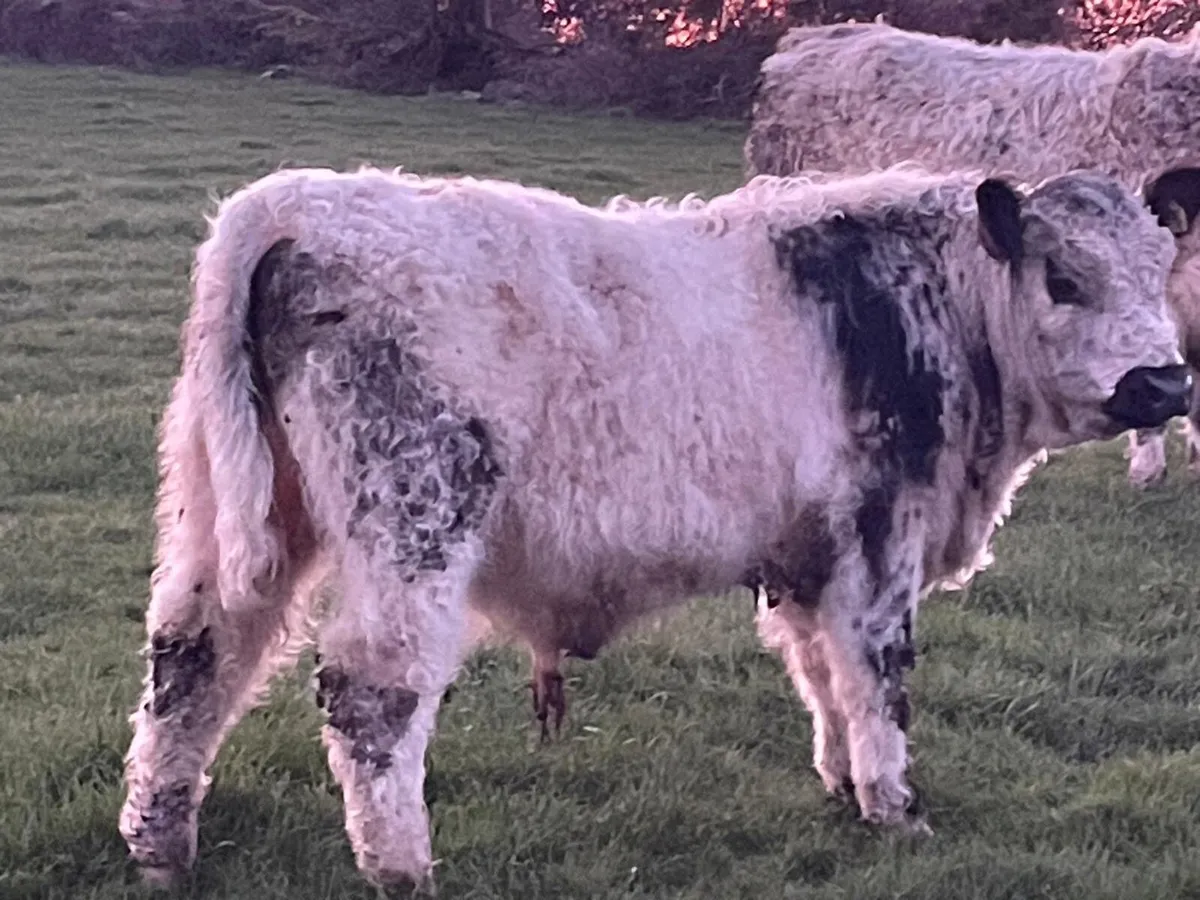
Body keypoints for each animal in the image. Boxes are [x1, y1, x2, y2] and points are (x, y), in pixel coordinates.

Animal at [119, 164, 1191, 892]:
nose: (1166, 384)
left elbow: (822, 673)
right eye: (1065, 280)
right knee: (369, 692)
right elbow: (877, 679)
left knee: (195, 654)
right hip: (415, 519)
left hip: (238, 513)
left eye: (1162, 269)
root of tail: (299, 201)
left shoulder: (808, 554)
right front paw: (896, 810)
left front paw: (842, 787)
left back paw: (162, 846)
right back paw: (402, 867)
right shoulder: (882, 536)